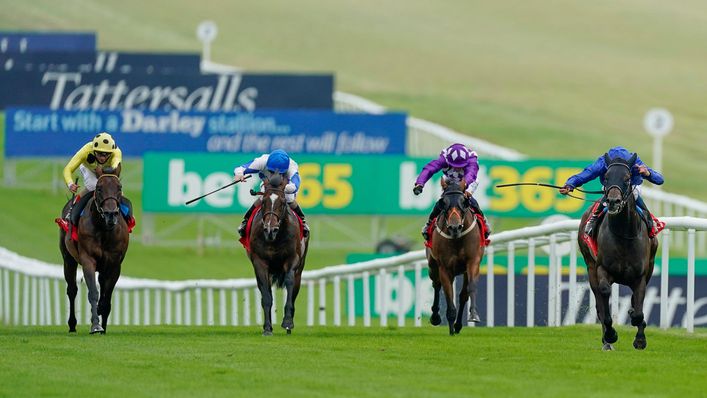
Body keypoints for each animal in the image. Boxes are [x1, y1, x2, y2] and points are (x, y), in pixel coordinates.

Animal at [58, 169, 129, 334]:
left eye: (119, 187)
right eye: (99, 188)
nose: (111, 214)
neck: (104, 229)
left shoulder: (114, 265)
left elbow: (106, 297)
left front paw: (102, 323)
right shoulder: (87, 260)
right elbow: (93, 293)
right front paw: (96, 325)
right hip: (68, 259)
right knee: (72, 290)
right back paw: (72, 325)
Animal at [245, 175, 308, 336]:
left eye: (283, 202)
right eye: (264, 202)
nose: (270, 229)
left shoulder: (292, 260)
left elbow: (290, 284)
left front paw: (287, 322)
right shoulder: (259, 263)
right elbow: (266, 296)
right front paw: (267, 328)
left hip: (300, 269)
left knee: (294, 289)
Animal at [426, 179, 486, 334]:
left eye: (464, 202)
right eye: (443, 202)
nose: (455, 227)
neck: (457, 239)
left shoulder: (473, 262)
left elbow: (469, 290)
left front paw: (473, 315)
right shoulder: (445, 268)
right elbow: (448, 294)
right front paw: (451, 328)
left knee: (463, 295)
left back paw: (458, 325)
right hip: (432, 266)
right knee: (436, 285)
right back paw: (436, 317)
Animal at [580, 154, 660, 350]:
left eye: (627, 178)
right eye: (606, 177)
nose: (613, 201)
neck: (624, 234)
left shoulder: (641, 275)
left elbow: (638, 311)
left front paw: (640, 339)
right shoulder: (602, 269)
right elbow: (604, 296)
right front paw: (611, 334)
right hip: (590, 266)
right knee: (599, 303)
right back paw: (606, 341)